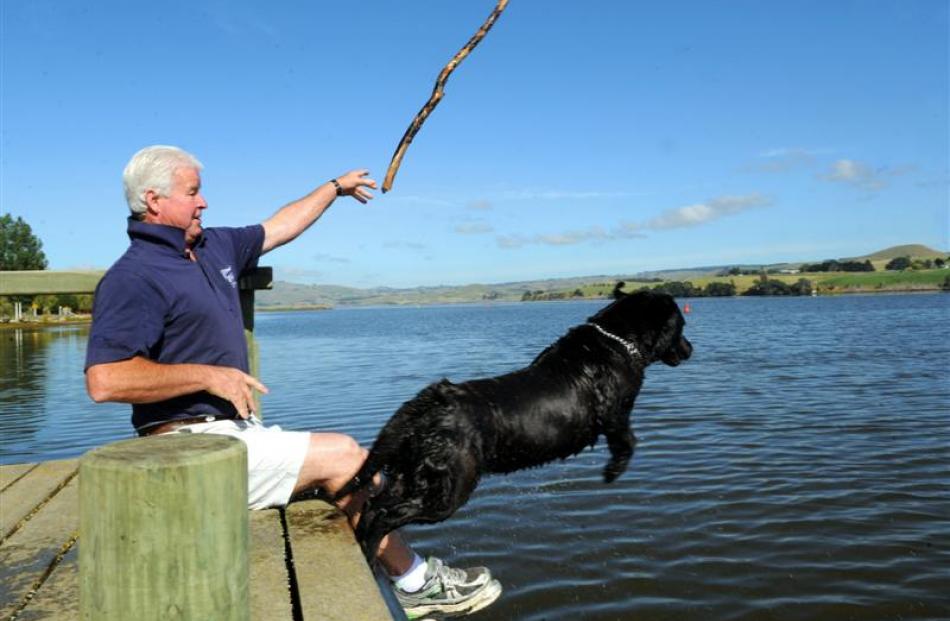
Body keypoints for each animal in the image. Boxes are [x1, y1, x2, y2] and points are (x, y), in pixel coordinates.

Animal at [338, 284, 696, 560]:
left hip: (408, 474)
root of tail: (431, 402)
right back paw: (370, 553)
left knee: (372, 505)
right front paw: (613, 471)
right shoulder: (616, 413)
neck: (616, 341)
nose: (690, 349)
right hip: (449, 488)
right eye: (681, 326)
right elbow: (627, 441)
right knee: (385, 515)